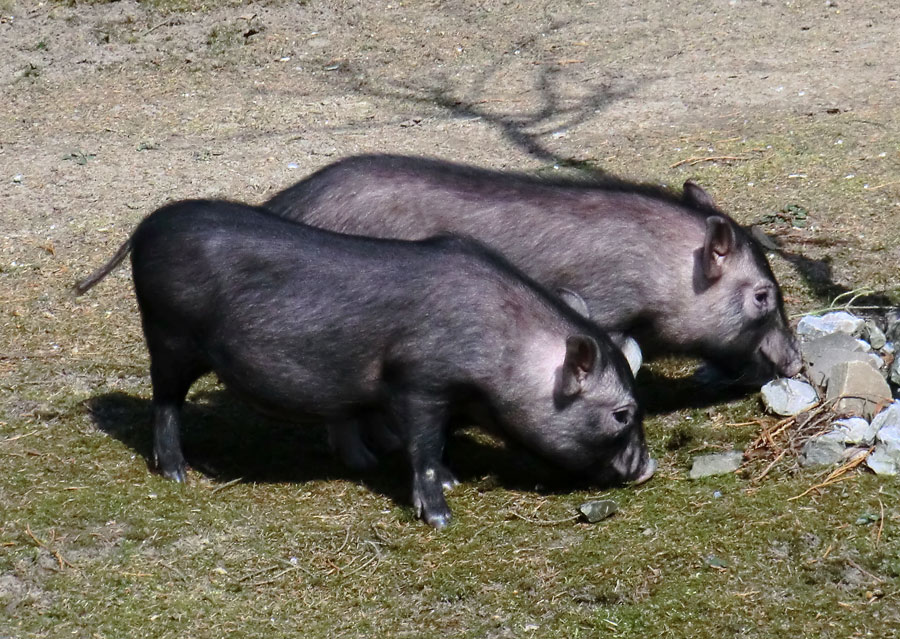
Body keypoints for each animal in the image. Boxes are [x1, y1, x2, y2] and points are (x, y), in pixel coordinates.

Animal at [77, 201, 652, 528]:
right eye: (622, 413)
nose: (648, 471)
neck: (501, 349)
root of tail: (145, 227)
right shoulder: (419, 382)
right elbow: (425, 447)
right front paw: (440, 516)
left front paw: (450, 481)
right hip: (168, 333)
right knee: (164, 401)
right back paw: (178, 474)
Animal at [262, 155, 800, 384]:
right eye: (762, 296)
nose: (797, 362)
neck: (660, 271)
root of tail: (285, 205)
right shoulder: (602, 308)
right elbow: (627, 355)